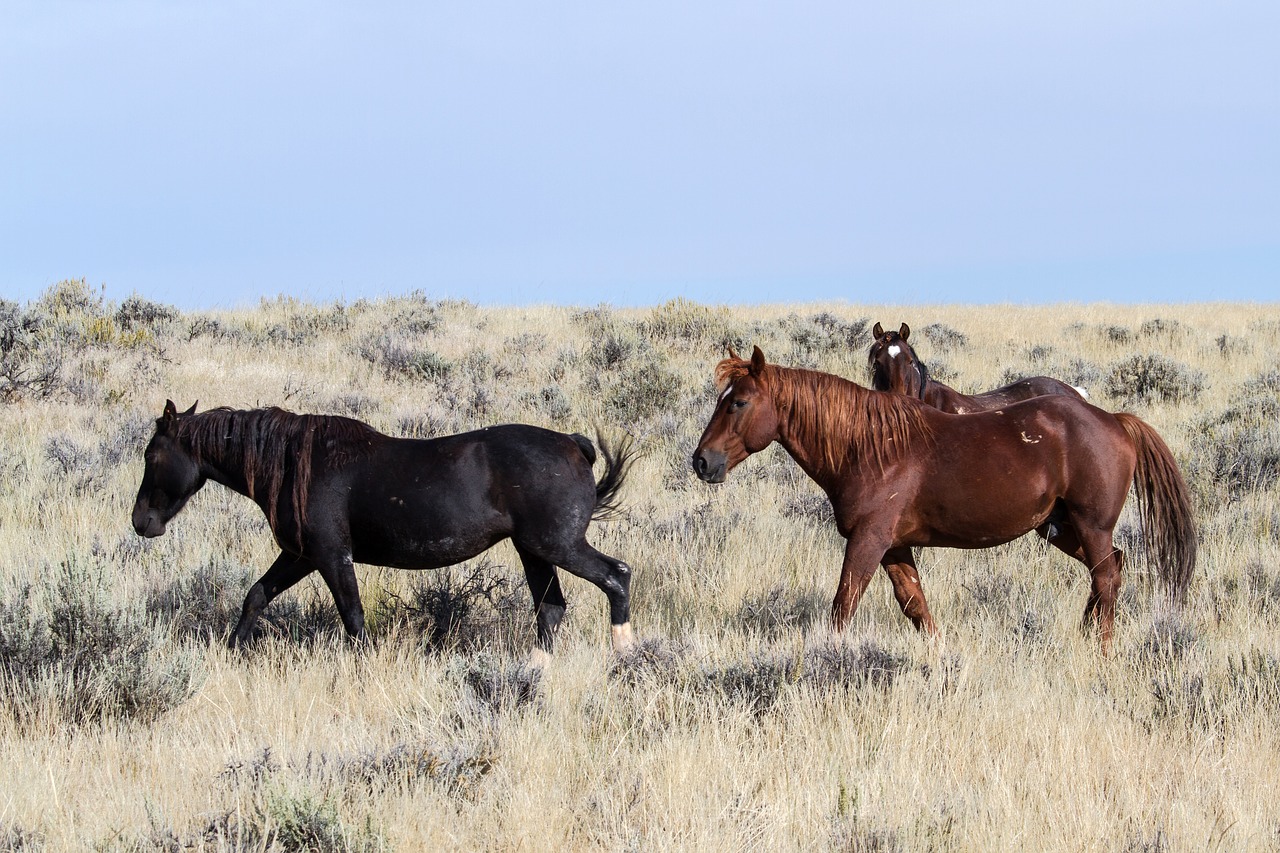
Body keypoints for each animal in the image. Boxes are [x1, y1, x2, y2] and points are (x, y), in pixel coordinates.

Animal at [132, 399, 637, 655]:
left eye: (152, 455)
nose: (142, 522)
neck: (295, 462)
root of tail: (573, 444)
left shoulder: (330, 556)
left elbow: (353, 619)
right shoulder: (300, 555)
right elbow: (256, 595)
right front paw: (232, 652)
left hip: (558, 545)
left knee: (617, 577)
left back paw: (625, 653)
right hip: (533, 550)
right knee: (550, 608)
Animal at [696, 345, 1192, 650]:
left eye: (738, 403)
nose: (702, 462)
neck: (868, 447)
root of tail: (1114, 419)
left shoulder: (868, 541)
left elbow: (843, 607)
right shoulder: (893, 546)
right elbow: (916, 606)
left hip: (1091, 525)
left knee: (1106, 576)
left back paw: (1101, 649)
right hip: (1059, 528)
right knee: (1110, 571)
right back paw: (1085, 635)